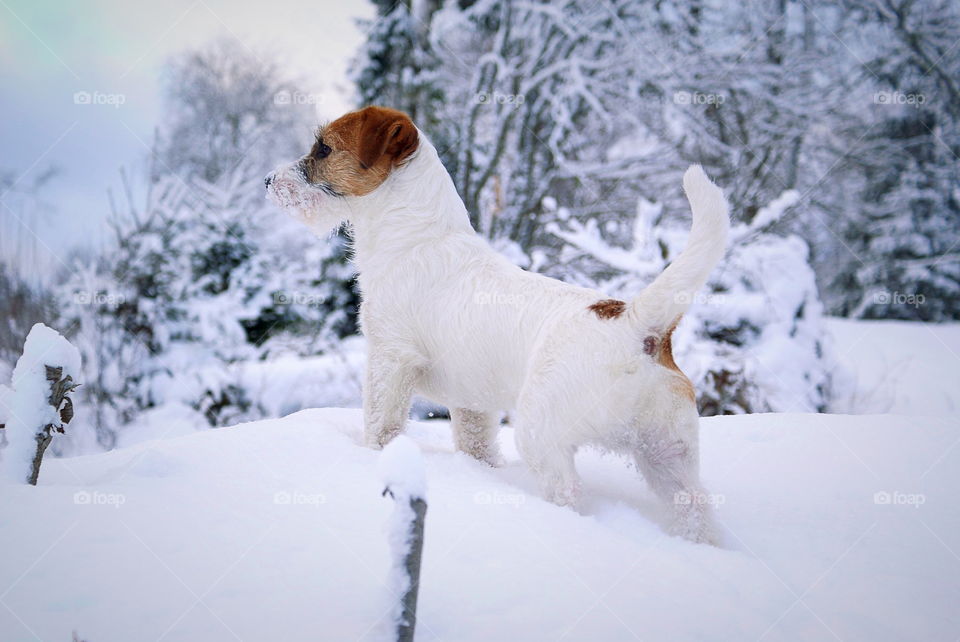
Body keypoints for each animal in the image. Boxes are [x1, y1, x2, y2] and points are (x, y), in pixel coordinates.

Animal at [262, 106, 728, 544]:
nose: (267, 181)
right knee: (695, 508)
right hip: (668, 455)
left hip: (541, 434)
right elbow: (476, 445)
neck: (416, 236)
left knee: (567, 492)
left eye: (324, 148)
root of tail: (635, 324)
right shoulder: (472, 403)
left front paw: (372, 455)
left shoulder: (390, 361)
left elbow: (382, 424)